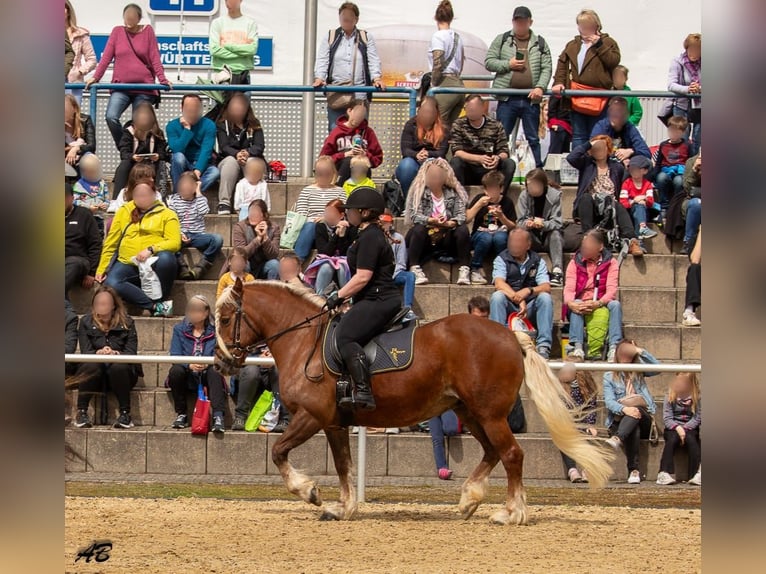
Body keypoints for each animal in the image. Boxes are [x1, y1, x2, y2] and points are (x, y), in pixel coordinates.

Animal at [213, 282, 616, 528]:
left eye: (226, 318)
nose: (220, 364)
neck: (302, 340)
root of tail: (509, 334)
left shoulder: (311, 417)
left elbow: (279, 452)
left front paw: (309, 492)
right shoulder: (334, 422)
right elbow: (344, 466)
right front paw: (343, 507)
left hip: (489, 413)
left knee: (512, 454)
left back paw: (510, 513)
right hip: (469, 411)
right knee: (492, 452)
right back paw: (469, 500)